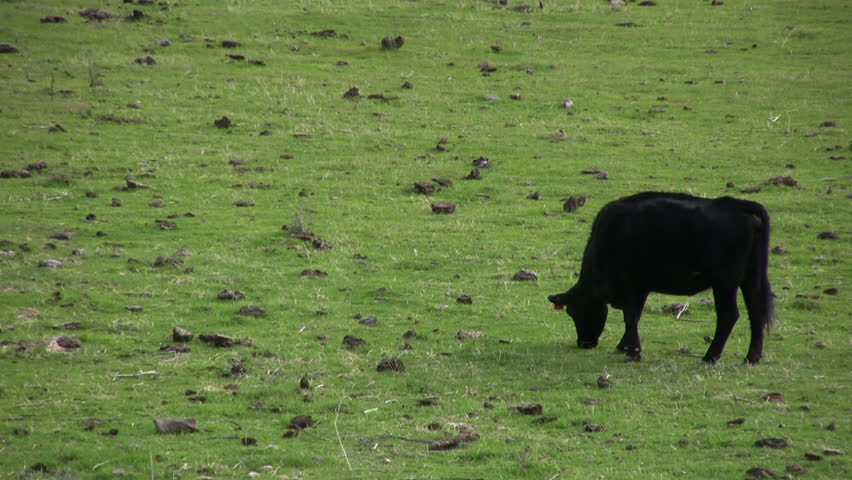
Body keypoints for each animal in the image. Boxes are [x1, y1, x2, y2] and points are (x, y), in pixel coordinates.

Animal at [548, 192, 774, 364]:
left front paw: (633, 352)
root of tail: (738, 205)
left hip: (724, 283)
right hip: (750, 278)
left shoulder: (630, 286)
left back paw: (710, 357)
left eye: (573, 311)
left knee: (729, 315)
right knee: (756, 311)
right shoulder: (641, 288)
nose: (584, 344)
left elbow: (630, 317)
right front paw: (624, 346)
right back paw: (752, 357)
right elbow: (636, 316)